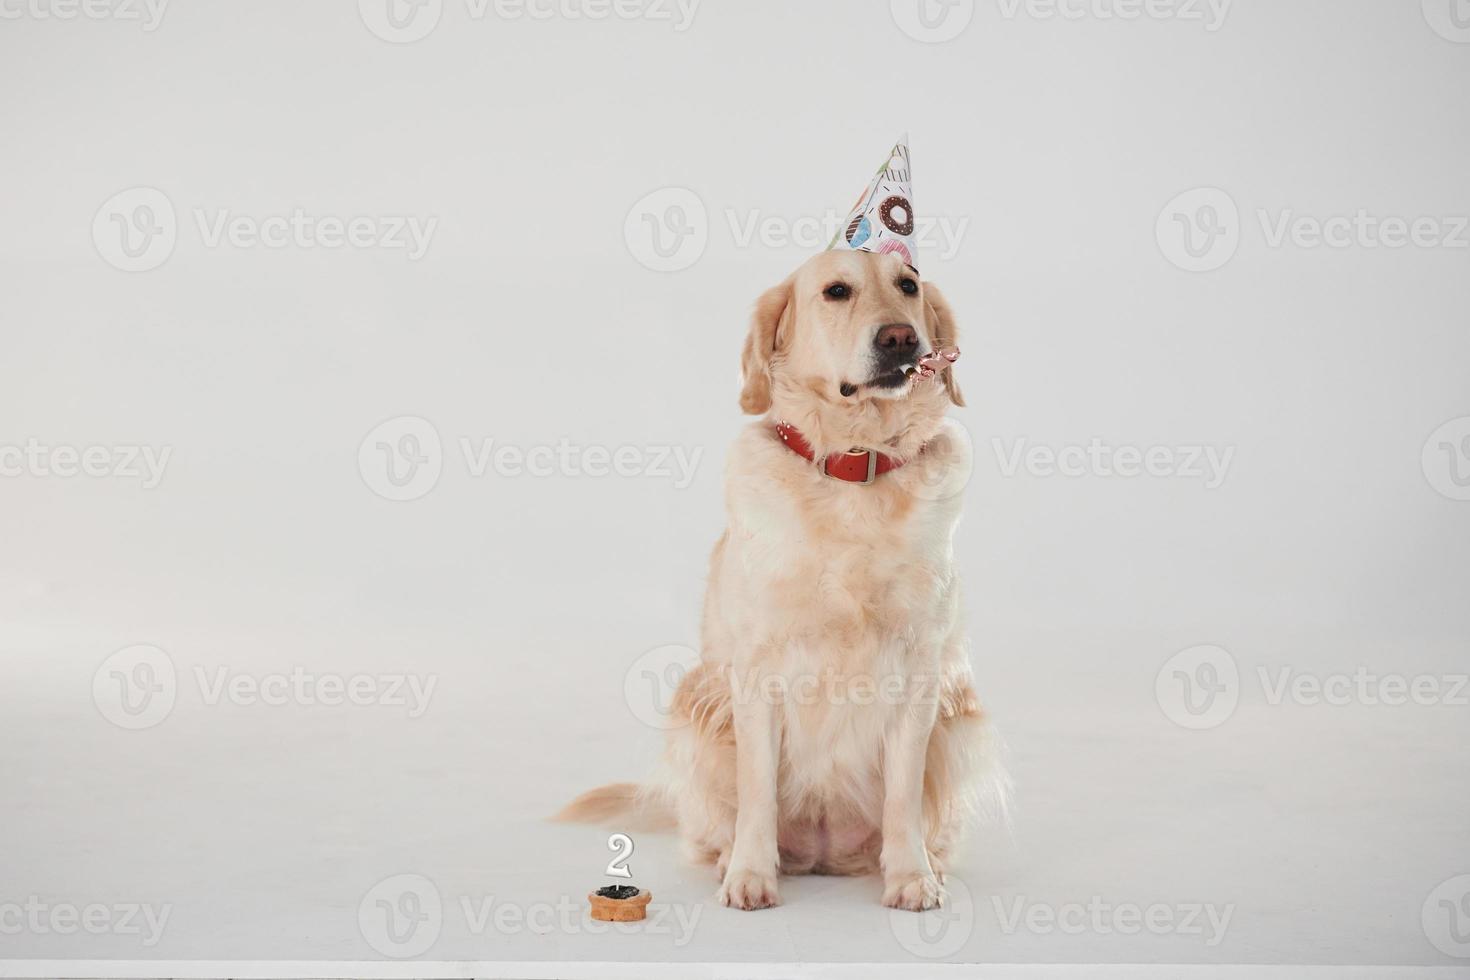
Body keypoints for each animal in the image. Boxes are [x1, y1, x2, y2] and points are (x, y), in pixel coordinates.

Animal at [555, 249, 1005, 916]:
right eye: (837, 291)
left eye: (908, 286)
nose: (901, 338)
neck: (853, 469)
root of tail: (825, 851)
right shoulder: (757, 675)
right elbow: (758, 790)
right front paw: (749, 875)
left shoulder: (920, 675)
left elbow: (902, 797)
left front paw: (911, 877)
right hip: (697, 717)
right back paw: (728, 859)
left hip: (958, 723)